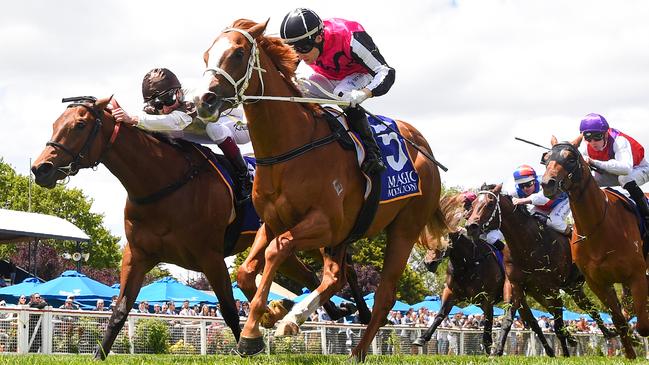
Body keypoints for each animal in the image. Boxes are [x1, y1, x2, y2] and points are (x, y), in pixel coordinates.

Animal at [30, 94, 368, 358]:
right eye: (55, 124)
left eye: (79, 125)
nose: (40, 168)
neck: (163, 184)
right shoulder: (137, 255)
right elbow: (119, 311)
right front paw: (99, 355)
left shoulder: (210, 257)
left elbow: (229, 310)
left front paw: (250, 346)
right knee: (311, 276)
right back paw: (311, 311)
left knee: (342, 272)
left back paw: (357, 313)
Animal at [195, 19, 454, 358]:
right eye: (206, 55)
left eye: (238, 54)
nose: (203, 100)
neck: (290, 149)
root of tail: (422, 144)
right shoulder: (272, 222)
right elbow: (246, 271)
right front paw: (272, 314)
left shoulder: (325, 223)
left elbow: (277, 250)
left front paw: (252, 332)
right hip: (344, 236)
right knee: (334, 277)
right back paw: (295, 319)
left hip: (404, 228)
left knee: (384, 295)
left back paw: (356, 352)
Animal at [412, 195, 504, 354]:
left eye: (440, 237)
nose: (428, 263)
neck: (468, 263)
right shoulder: (451, 292)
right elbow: (440, 314)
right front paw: (422, 338)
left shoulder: (487, 299)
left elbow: (488, 326)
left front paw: (489, 351)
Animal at [466, 183, 612, 354]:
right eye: (473, 204)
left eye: (489, 203)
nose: (470, 226)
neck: (529, 245)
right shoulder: (516, 286)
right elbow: (508, 320)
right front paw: (496, 352)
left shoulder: (553, 289)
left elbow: (558, 326)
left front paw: (566, 354)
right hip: (564, 289)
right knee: (588, 306)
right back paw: (606, 333)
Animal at [536, 135, 648, 356]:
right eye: (546, 158)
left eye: (571, 158)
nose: (547, 184)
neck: (599, 227)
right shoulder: (598, 283)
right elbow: (620, 321)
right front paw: (629, 352)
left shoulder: (637, 275)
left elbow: (642, 325)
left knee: (625, 178)